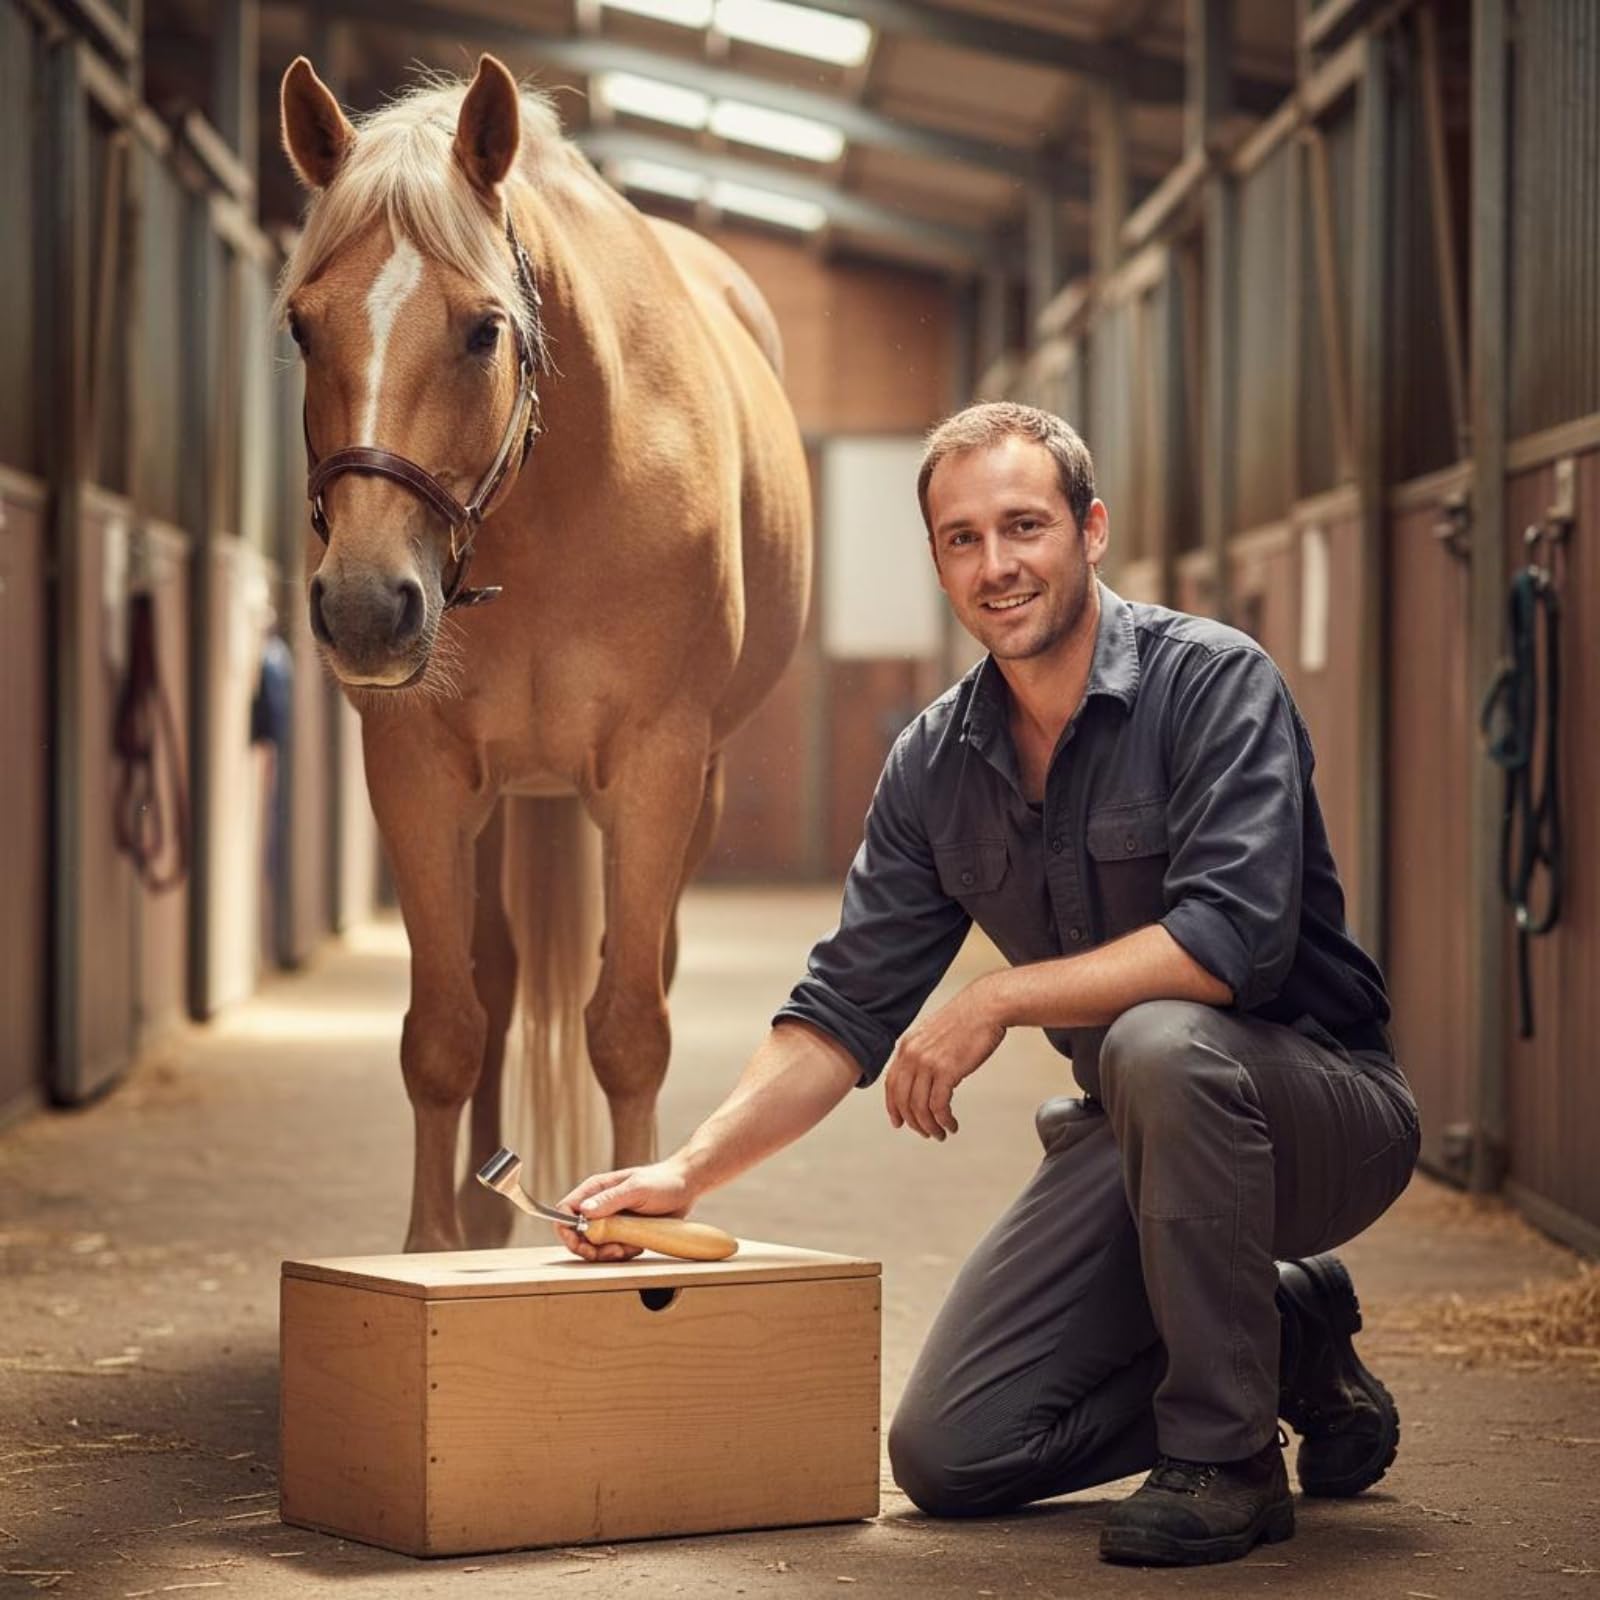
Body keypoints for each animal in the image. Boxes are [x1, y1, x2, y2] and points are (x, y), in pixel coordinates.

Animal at [275, 53, 811, 1252]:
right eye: (300, 328)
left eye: (483, 329)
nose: (368, 607)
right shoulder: (418, 772)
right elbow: (444, 1028)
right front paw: (432, 1252)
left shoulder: (657, 767)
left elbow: (627, 1028)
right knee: (499, 977)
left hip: (688, 786)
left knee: (635, 973)